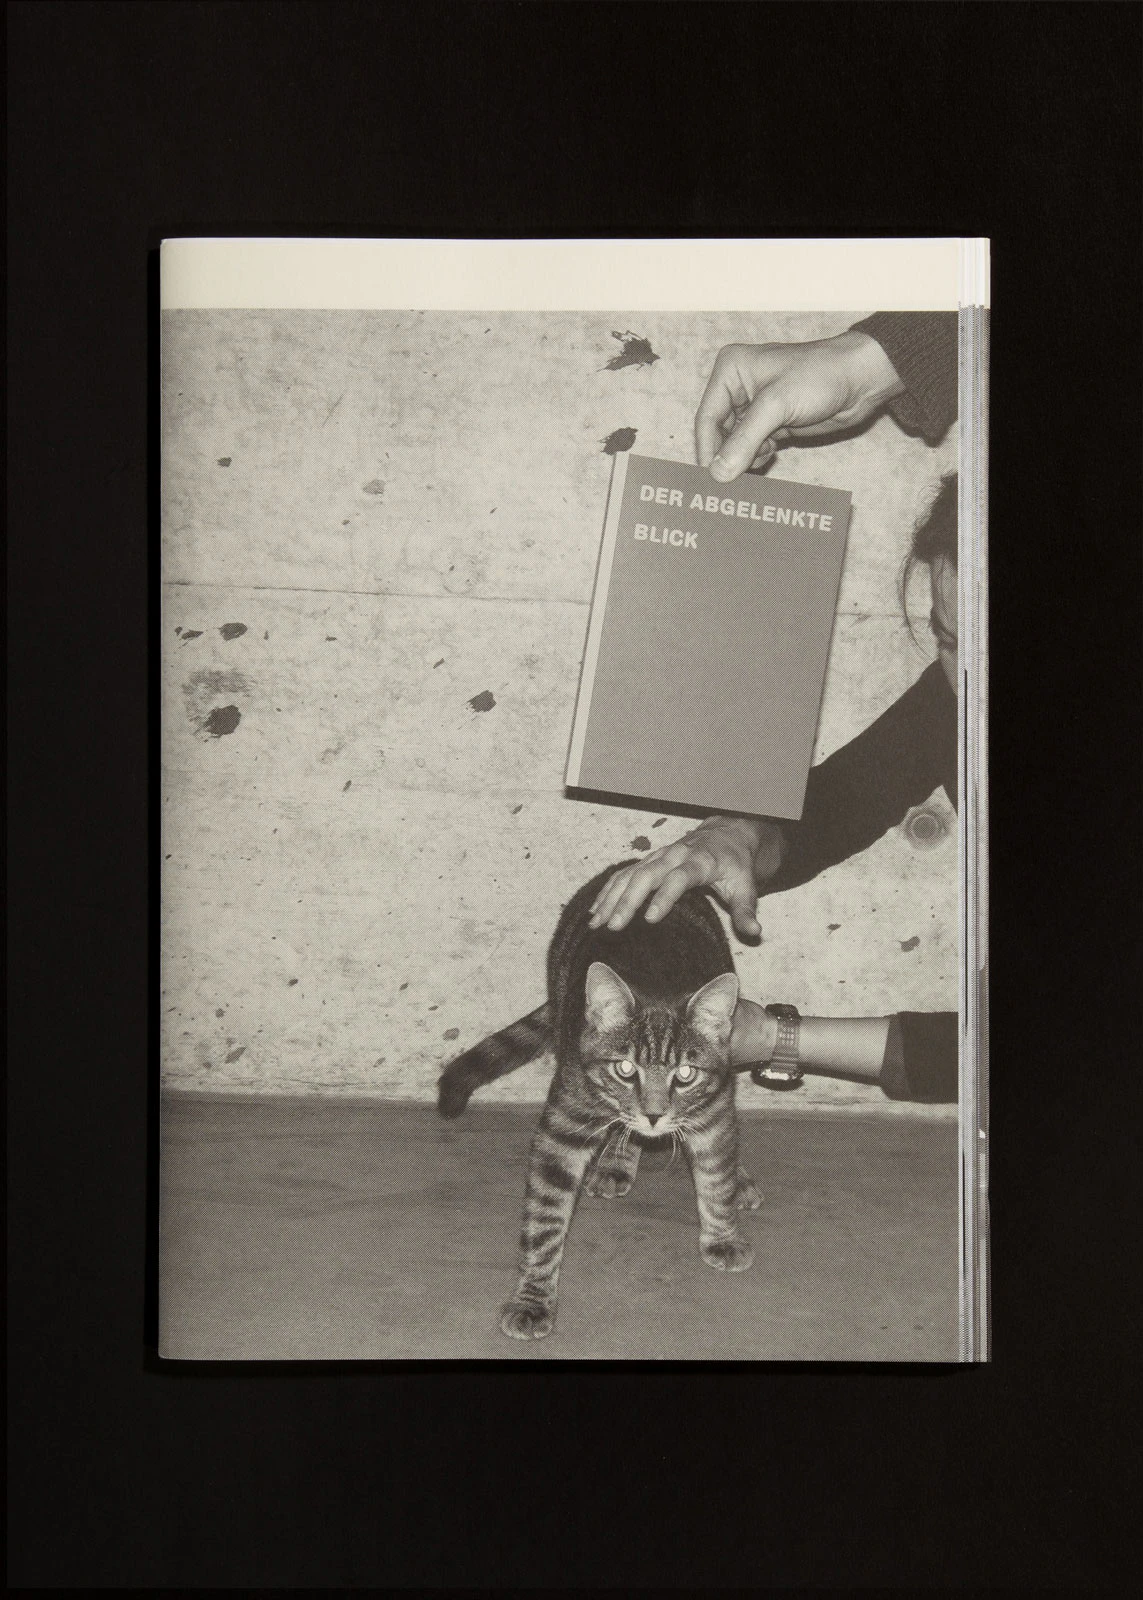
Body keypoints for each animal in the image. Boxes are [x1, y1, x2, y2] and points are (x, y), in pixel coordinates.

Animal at [437, 860, 762, 1341]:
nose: (654, 1115)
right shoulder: (564, 1125)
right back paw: (617, 1158)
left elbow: (715, 1175)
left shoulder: (715, 1107)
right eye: (625, 1069)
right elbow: (546, 1219)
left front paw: (722, 1233)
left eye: (685, 1074)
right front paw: (534, 1296)